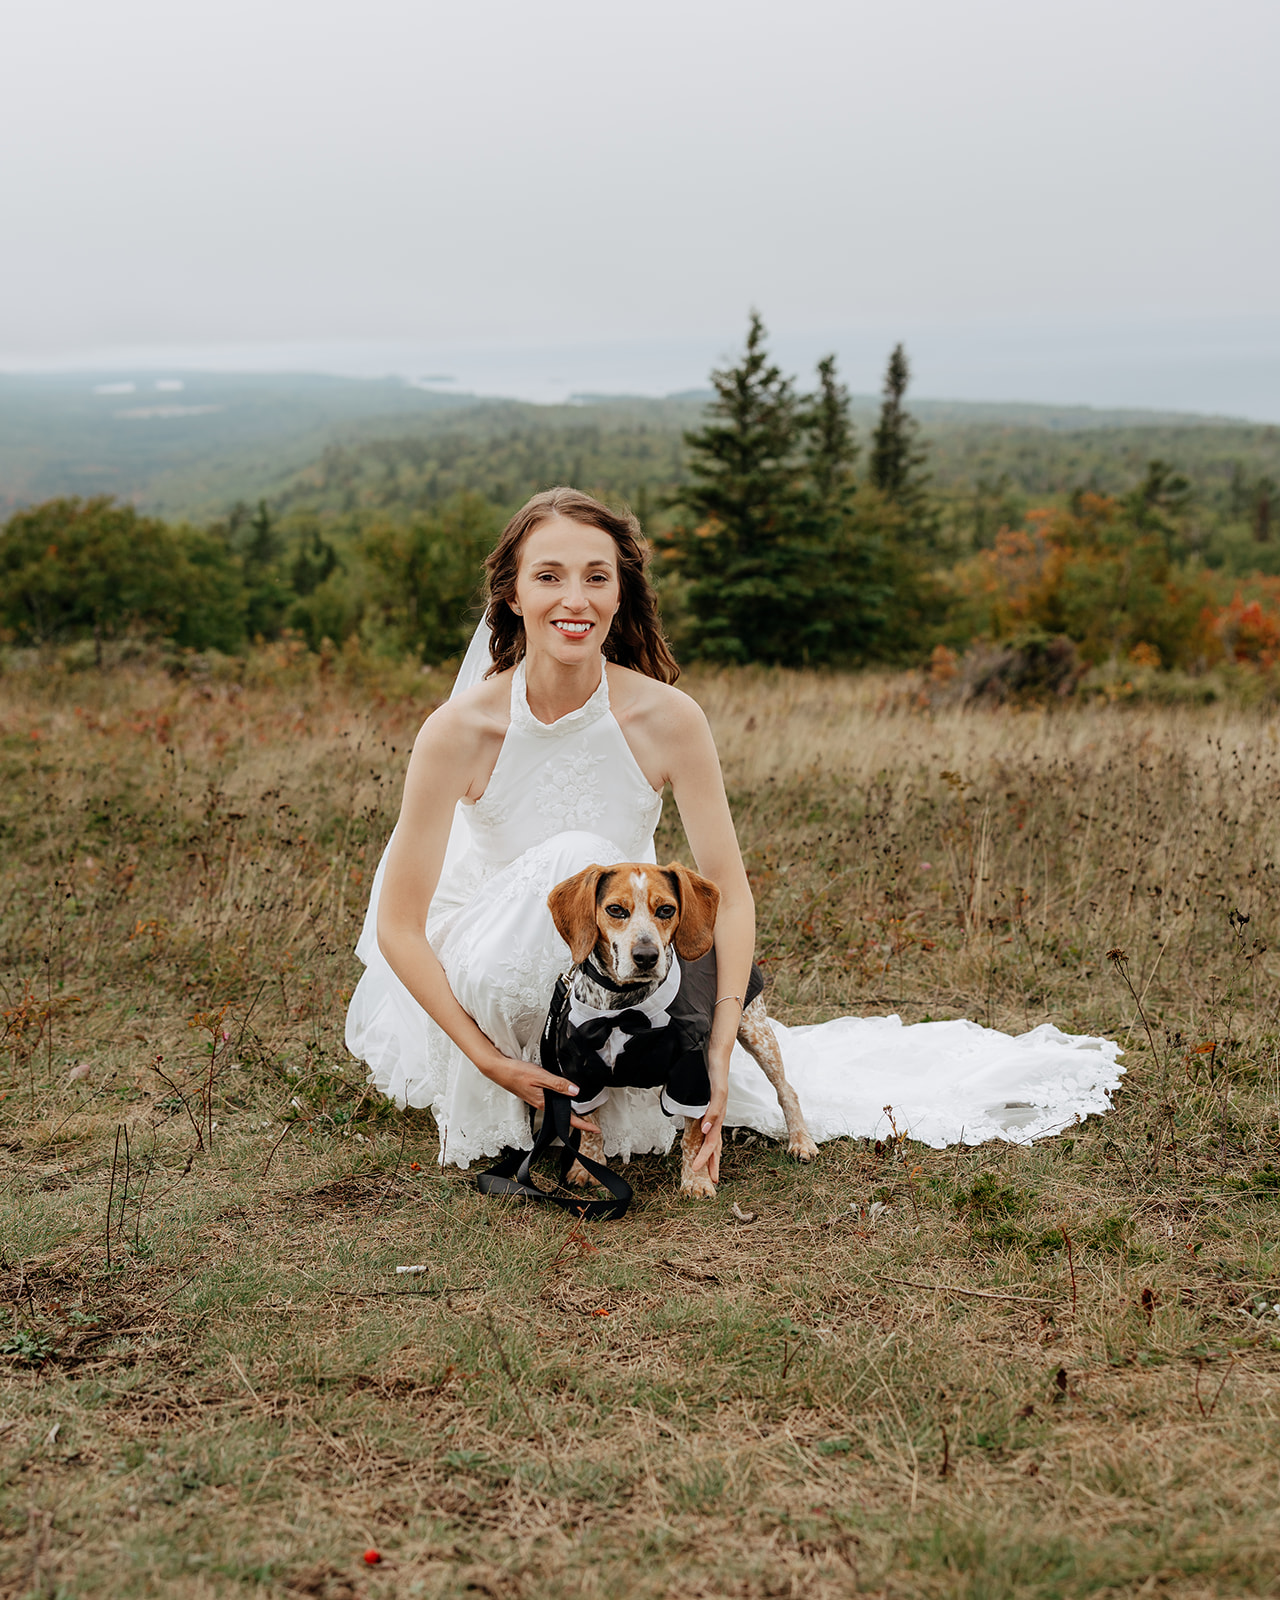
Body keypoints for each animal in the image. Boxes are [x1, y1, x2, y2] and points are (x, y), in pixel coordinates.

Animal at [546, 861, 818, 1198]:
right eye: (615, 910)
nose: (646, 957)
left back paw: (801, 1141)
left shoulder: (692, 1072)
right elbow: (590, 1128)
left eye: (666, 909)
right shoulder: (579, 1072)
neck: (623, 1009)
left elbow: (694, 1136)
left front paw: (696, 1179)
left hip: (755, 1032)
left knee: (787, 1091)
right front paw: (588, 1167)